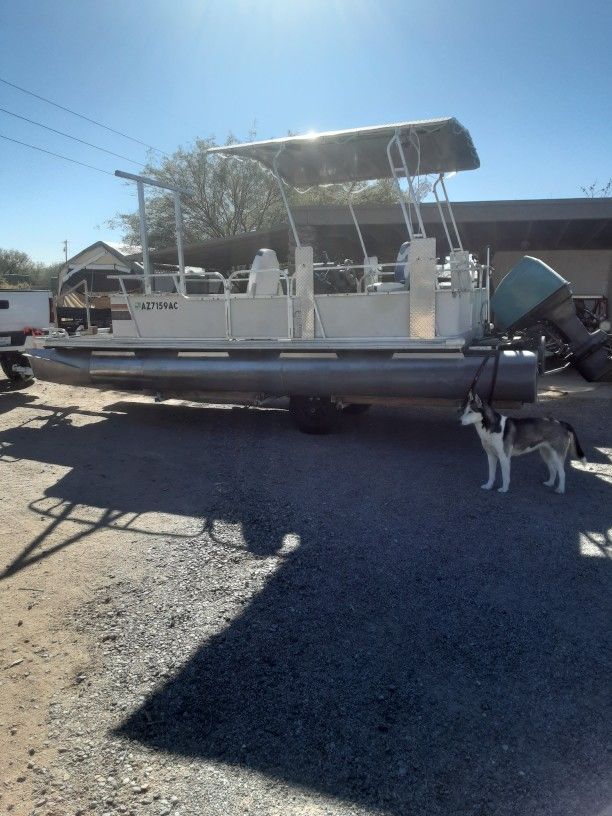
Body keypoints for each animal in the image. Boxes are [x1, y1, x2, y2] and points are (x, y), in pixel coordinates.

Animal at [460, 392, 588, 494]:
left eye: (470, 411)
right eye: (464, 411)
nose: (459, 420)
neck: (491, 427)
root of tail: (561, 422)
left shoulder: (504, 457)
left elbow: (505, 476)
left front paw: (504, 489)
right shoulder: (491, 456)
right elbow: (491, 475)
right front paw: (488, 486)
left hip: (557, 455)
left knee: (562, 473)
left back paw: (560, 489)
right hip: (546, 454)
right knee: (553, 470)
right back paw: (550, 483)